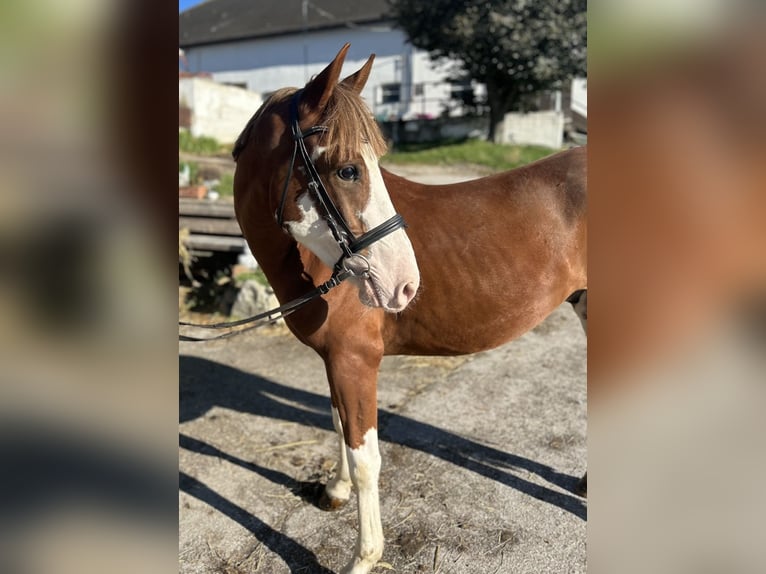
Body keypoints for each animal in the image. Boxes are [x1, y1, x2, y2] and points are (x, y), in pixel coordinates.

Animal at [232, 45, 588, 574]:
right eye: (348, 169)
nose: (405, 284)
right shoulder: (336, 360)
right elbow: (338, 424)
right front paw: (335, 491)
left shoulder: (356, 360)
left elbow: (366, 459)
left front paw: (364, 557)